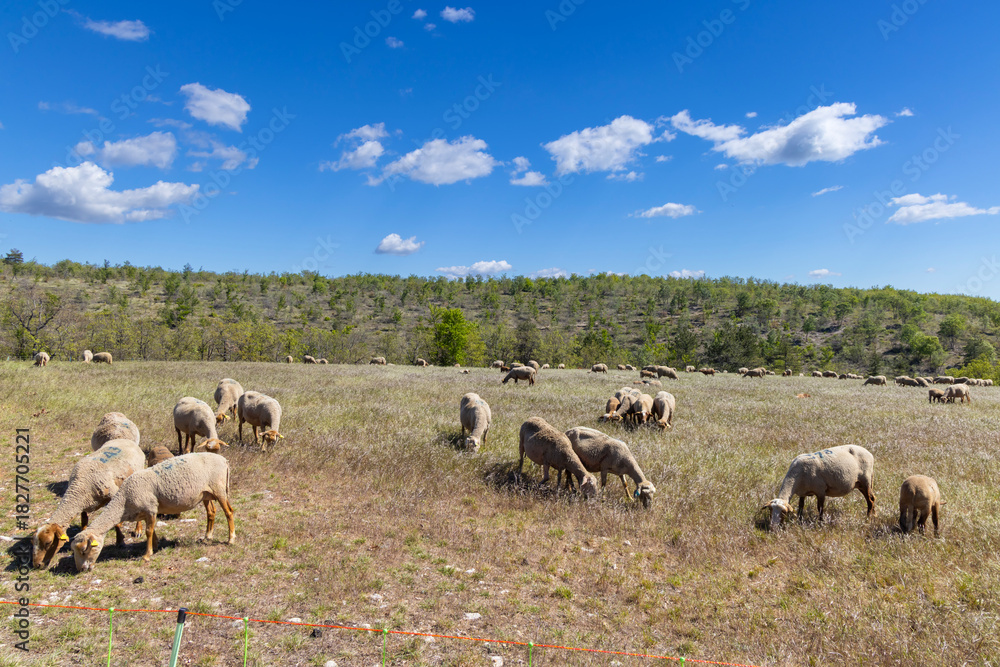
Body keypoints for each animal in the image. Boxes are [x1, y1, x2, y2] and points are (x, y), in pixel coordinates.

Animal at [32, 439, 145, 569]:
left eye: (48, 542)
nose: (37, 565)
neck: (79, 486)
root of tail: (125, 440)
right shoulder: (83, 505)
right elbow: (84, 523)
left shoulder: (113, 495)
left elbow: (115, 524)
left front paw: (120, 542)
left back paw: (138, 530)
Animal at [70, 452, 235, 570]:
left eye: (84, 550)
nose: (80, 569)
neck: (124, 501)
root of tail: (224, 460)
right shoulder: (147, 512)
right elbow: (152, 530)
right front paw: (155, 547)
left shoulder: (150, 508)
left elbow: (148, 531)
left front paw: (147, 555)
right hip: (206, 494)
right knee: (211, 512)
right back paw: (207, 536)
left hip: (219, 488)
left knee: (229, 512)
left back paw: (231, 539)